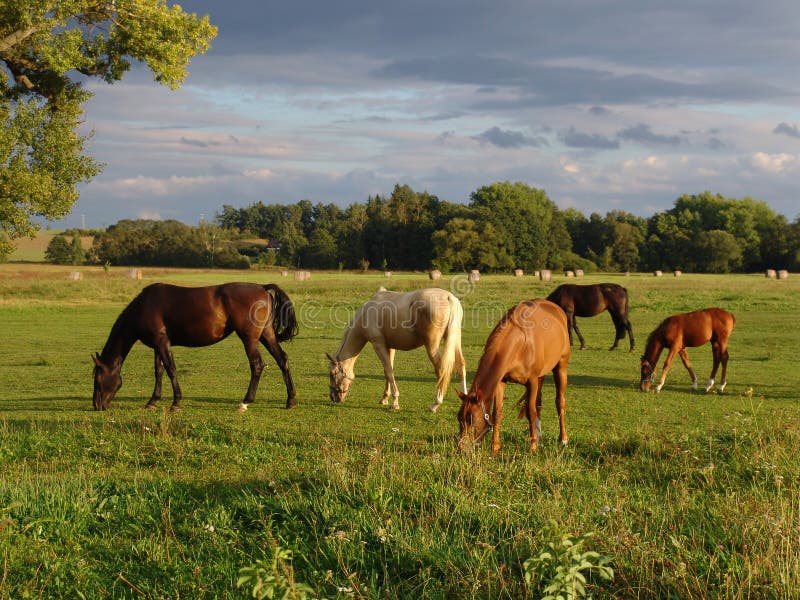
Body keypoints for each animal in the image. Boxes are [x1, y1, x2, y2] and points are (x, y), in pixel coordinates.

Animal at [91, 284, 296, 410]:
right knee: (282, 360)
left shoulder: (162, 342)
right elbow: (159, 371)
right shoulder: (157, 345)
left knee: (257, 365)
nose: (97, 405)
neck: (144, 306)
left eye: (98, 379)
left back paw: (245, 401)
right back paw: (290, 400)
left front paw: (176, 403)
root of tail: (262, 288)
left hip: (249, 339)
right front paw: (152, 401)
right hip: (266, 335)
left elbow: (171, 370)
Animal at [326, 288, 468, 410]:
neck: (366, 314)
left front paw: (395, 402)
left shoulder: (378, 345)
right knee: (461, 366)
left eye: (332, 374)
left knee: (441, 370)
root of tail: (449, 297)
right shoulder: (390, 347)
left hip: (432, 347)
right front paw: (384, 399)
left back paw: (435, 404)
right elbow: (387, 371)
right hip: (455, 340)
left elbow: (389, 372)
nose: (333, 397)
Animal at [456, 298, 568, 452]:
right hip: (542, 375)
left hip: (560, 367)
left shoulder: (532, 381)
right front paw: (495, 446)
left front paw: (532, 446)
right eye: (459, 418)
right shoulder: (501, 381)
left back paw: (562, 439)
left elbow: (530, 411)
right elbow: (497, 413)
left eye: (472, 420)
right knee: (539, 403)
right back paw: (540, 438)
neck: (521, 343)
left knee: (559, 401)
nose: (461, 448)